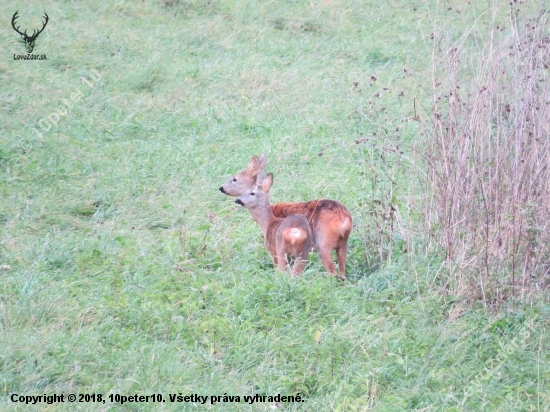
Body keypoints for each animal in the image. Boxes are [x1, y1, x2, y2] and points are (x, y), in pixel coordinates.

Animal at [221, 154, 354, 280]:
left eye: (234, 179)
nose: (221, 188)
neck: (270, 215)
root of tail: (343, 218)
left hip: (323, 243)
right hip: (342, 243)